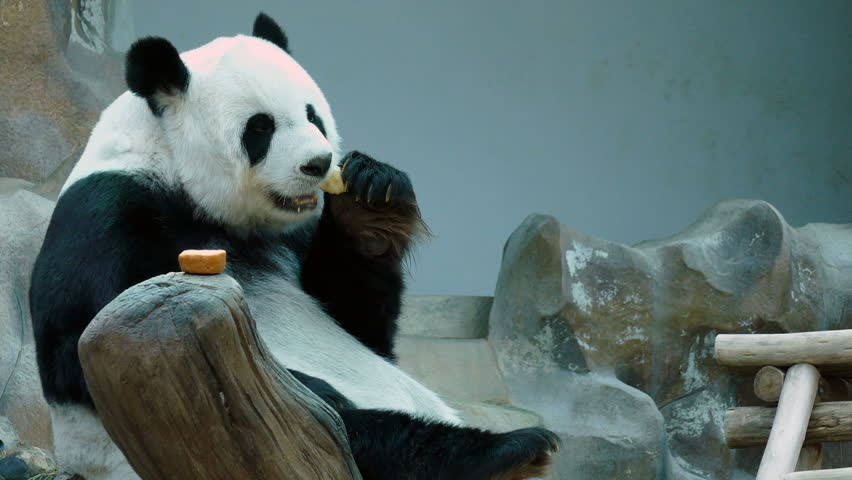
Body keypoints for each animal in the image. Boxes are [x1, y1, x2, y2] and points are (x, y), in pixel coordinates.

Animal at [29, 13, 559, 480]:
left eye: (313, 116)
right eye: (260, 128)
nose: (318, 163)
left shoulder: (295, 236)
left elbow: (364, 326)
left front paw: (370, 205)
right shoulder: (106, 218)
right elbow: (81, 347)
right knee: (366, 433)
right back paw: (504, 453)